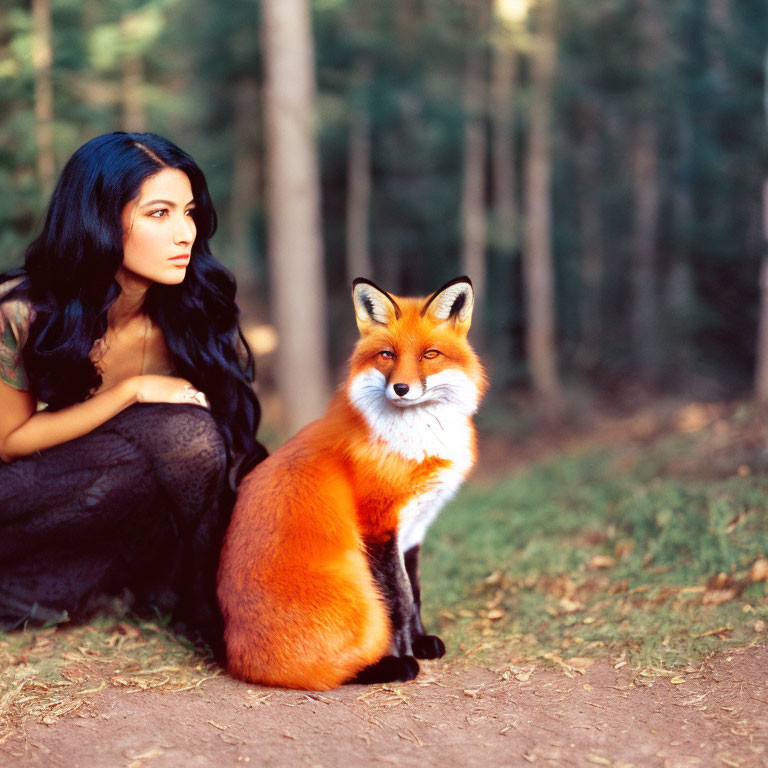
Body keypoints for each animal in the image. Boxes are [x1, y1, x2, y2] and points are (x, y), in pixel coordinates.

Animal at [216, 276, 486, 688]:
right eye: (387, 355)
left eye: (429, 354)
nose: (401, 389)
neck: (416, 444)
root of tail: (238, 662)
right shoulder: (378, 526)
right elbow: (399, 601)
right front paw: (404, 651)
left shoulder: (415, 527)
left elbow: (416, 593)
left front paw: (420, 640)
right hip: (359, 594)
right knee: (326, 671)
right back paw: (387, 666)